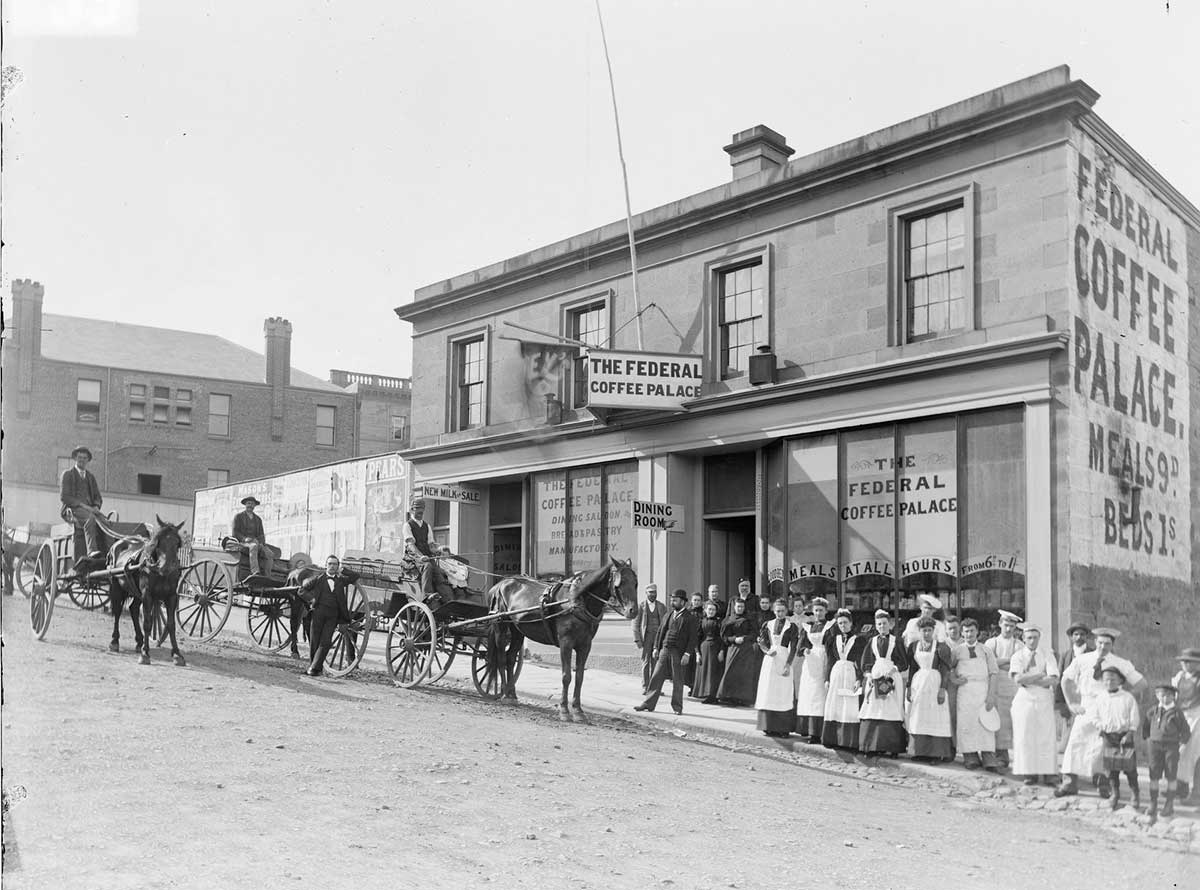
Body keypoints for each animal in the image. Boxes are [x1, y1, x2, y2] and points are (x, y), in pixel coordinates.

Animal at [108, 515, 187, 666]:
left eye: (177, 543)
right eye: (158, 541)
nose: (166, 567)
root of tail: (119, 543)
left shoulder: (171, 596)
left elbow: (171, 624)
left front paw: (177, 654)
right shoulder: (147, 595)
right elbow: (147, 623)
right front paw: (145, 653)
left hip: (137, 593)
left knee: (133, 609)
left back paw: (139, 641)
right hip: (116, 586)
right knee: (117, 611)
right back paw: (114, 641)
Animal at [484, 556, 637, 722]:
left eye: (636, 583)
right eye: (618, 584)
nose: (633, 610)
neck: (577, 599)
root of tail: (499, 584)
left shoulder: (585, 645)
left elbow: (579, 677)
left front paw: (578, 711)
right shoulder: (566, 643)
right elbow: (566, 676)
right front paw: (564, 710)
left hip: (518, 630)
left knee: (511, 658)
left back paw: (512, 695)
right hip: (501, 626)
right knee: (501, 658)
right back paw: (505, 693)